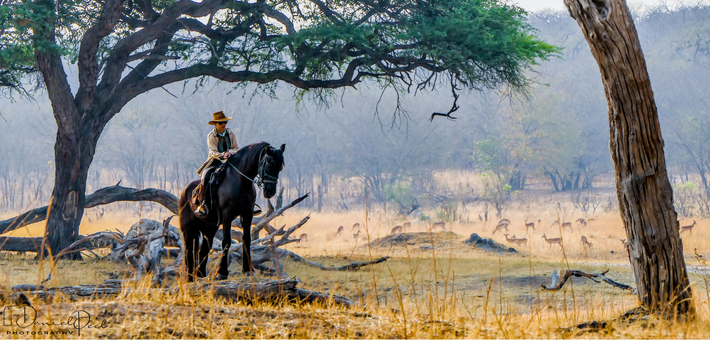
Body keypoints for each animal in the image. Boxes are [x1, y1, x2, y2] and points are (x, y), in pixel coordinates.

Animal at [179, 142, 286, 280]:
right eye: (269, 164)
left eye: (280, 168)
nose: (270, 192)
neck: (240, 181)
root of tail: (184, 191)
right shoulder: (227, 215)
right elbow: (226, 241)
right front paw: (221, 272)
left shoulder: (247, 214)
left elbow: (247, 239)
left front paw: (248, 270)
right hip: (188, 228)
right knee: (188, 250)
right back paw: (190, 277)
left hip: (209, 228)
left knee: (204, 249)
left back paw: (200, 275)